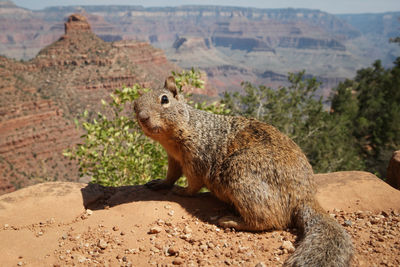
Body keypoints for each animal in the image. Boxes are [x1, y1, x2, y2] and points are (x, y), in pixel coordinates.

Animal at [134, 76, 354, 266]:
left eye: (165, 99)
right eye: (135, 105)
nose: (142, 117)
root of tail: (304, 196)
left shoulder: (197, 157)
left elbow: (194, 182)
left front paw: (182, 191)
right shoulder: (174, 159)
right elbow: (171, 175)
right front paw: (159, 183)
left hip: (239, 172)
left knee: (269, 220)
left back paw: (231, 221)